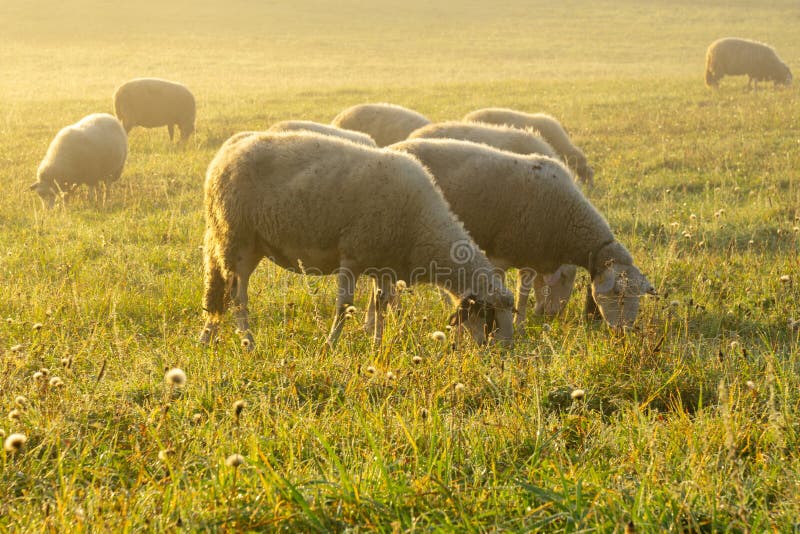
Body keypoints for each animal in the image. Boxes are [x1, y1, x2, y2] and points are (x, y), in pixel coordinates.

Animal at [199, 131, 512, 352]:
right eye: (489, 316)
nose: (500, 352)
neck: (422, 227)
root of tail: (225, 152)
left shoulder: (383, 265)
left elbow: (381, 305)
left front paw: (377, 345)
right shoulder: (352, 255)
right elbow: (345, 307)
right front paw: (330, 346)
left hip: (247, 244)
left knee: (223, 294)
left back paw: (208, 338)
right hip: (236, 238)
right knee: (237, 297)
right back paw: (248, 343)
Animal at [390, 138, 656, 330]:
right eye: (618, 295)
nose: (626, 331)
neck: (567, 218)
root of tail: (393, 146)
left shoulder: (531, 255)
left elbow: (526, 292)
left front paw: (524, 320)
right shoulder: (504, 253)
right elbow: (516, 290)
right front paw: (515, 324)